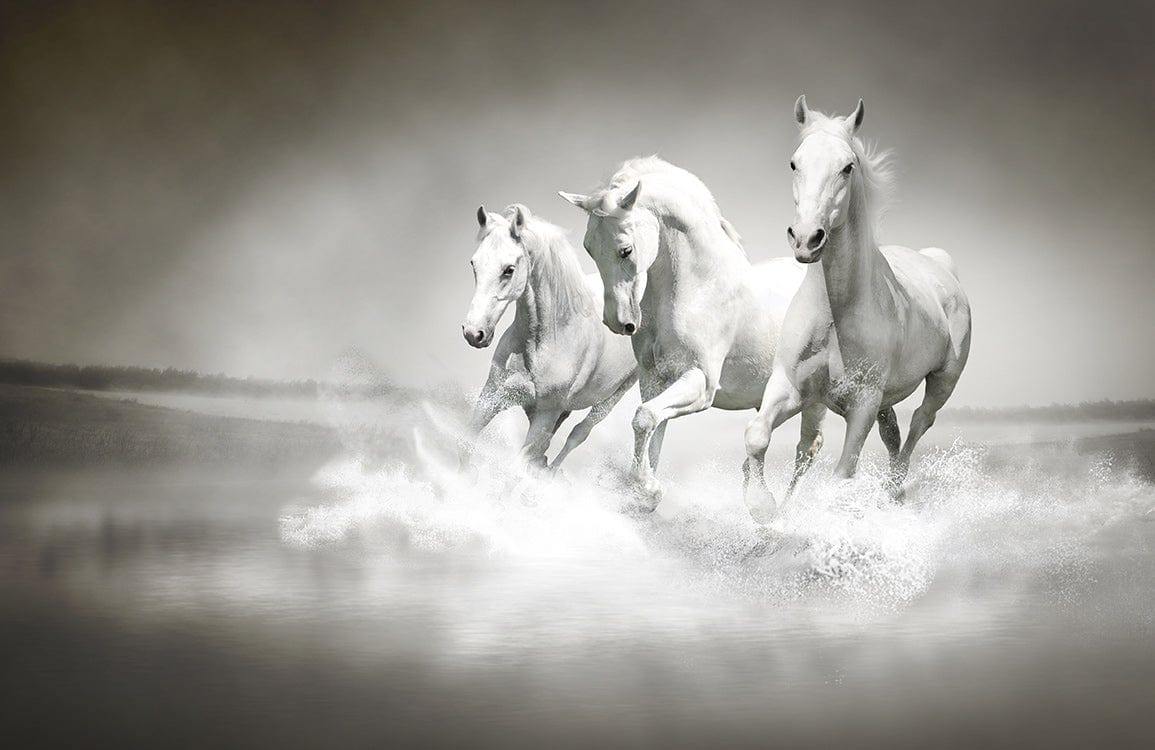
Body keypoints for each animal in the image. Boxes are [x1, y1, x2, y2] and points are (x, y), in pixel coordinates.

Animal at [462, 203, 638, 470]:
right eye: (474, 263)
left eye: (509, 269)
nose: (474, 333)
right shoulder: (492, 396)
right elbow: (464, 446)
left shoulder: (545, 415)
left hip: (613, 396)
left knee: (578, 434)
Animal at [559, 157, 826, 511]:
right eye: (589, 248)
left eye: (625, 250)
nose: (618, 322)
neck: (699, 288)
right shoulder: (655, 380)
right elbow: (652, 428)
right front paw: (646, 493)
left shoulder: (701, 382)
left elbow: (644, 418)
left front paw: (648, 488)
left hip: (814, 399)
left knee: (807, 449)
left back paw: (777, 513)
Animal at [743, 96, 972, 520]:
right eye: (794, 162)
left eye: (847, 167)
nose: (806, 238)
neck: (835, 313)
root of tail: (941, 266)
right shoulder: (789, 387)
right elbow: (757, 435)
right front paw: (763, 508)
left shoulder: (862, 403)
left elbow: (842, 474)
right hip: (885, 400)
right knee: (892, 432)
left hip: (943, 380)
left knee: (919, 423)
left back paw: (894, 490)